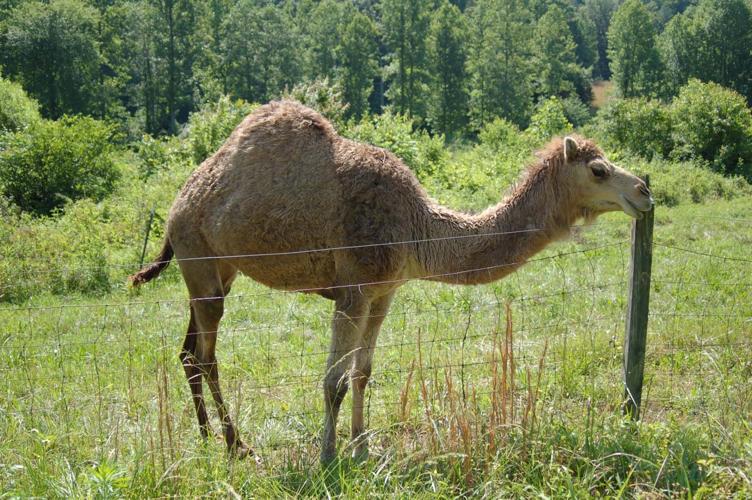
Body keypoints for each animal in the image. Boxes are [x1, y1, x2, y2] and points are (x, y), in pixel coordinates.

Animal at [130, 100, 653, 464]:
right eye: (598, 169)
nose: (644, 192)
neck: (417, 225)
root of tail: (178, 204)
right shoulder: (354, 290)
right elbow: (333, 379)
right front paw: (328, 457)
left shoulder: (385, 293)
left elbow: (363, 372)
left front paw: (362, 447)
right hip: (198, 255)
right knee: (206, 357)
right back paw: (236, 445)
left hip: (216, 269)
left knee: (187, 352)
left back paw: (207, 438)